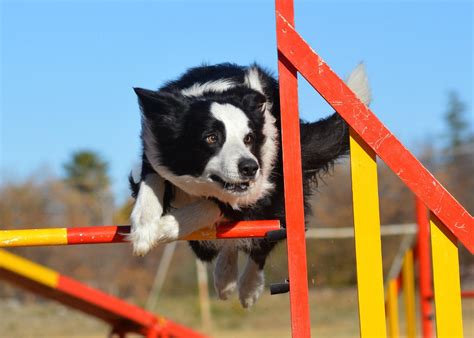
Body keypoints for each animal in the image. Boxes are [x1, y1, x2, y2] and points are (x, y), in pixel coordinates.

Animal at [129, 62, 370, 308]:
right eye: (211, 137)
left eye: (249, 138)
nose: (250, 167)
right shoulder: (155, 151)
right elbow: (152, 184)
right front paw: (143, 231)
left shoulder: (260, 190)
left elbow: (208, 208)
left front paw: (160, 228)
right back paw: (225, 278)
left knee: (262, 242)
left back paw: (247, 287)